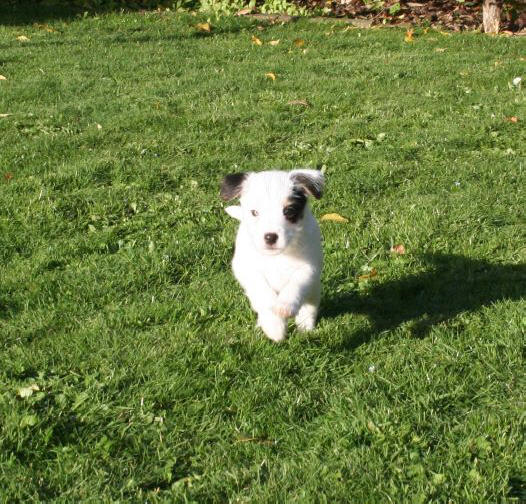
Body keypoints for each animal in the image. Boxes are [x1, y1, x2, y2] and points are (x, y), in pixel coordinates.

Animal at [220, 169, 324, 342]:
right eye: (254, 212)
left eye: (289, 211)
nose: (270, 237)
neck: (277, 257)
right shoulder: (245, 268)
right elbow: (263, 292)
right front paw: (275, 326)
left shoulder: (309, 267)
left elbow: (296, 283)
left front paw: (285, 306)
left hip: (314, 291)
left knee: (309, 306)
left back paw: (305, 326)